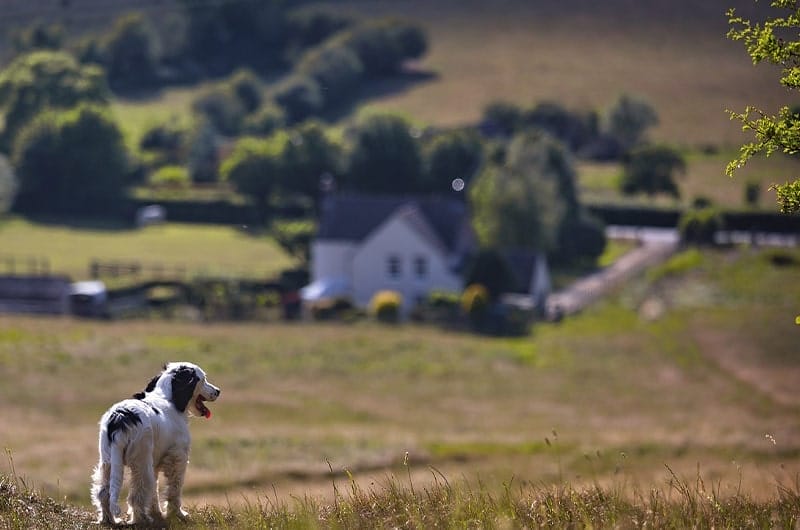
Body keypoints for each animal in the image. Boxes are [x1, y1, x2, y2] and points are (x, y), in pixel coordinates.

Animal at [90, 360, 220, 520]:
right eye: (203, 379)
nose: (218, 391)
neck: (168, 398)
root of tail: (120, 418)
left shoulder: (155, 463)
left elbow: (154, 491)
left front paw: (157, 513)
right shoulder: (178, 457)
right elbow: (174, 489)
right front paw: (177, 514)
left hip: (108, 460)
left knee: (103, 492)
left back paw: (109, 520)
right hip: (141, 462)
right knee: (137, 494)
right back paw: (141, 519)